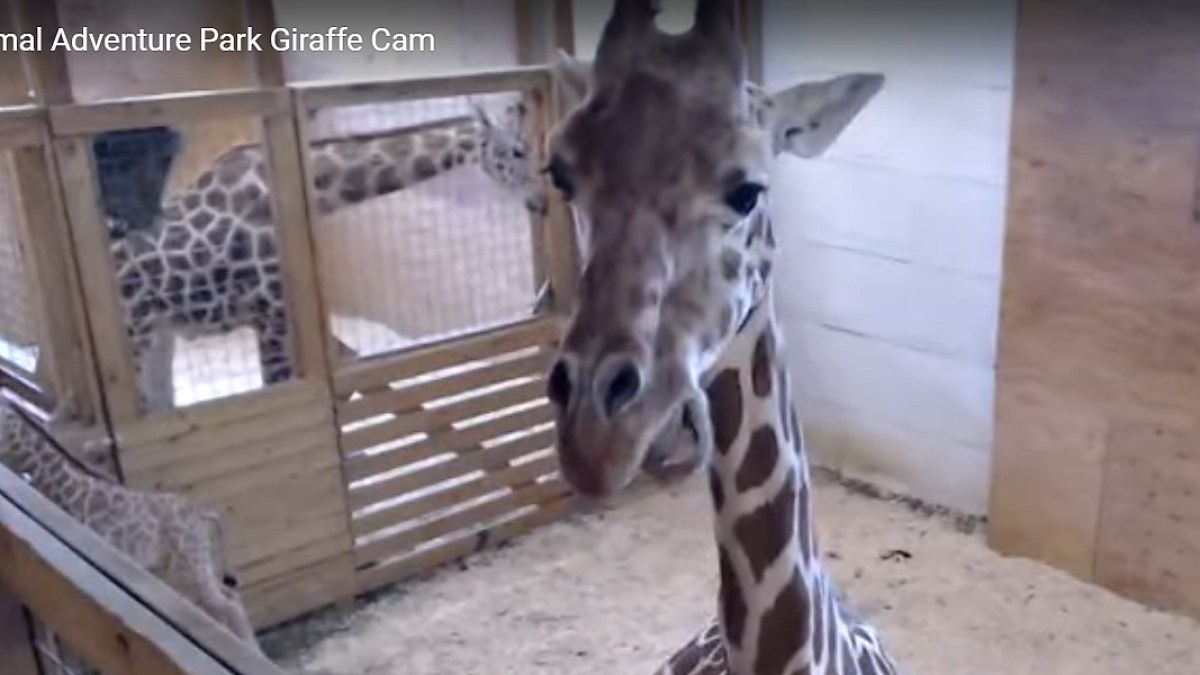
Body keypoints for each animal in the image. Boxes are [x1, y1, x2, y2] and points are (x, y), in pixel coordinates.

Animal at [0, 399, 261, 652]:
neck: (71, 493)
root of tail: (200, 512)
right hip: (187, 563)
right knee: (228, 600)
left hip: (190, 563)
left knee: (226, 607)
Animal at [113, 101, 546, 411]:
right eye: (517, 151)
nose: (541, 202)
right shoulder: (273, 315)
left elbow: (349, 364)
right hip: (135, 338)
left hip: (158, 335)